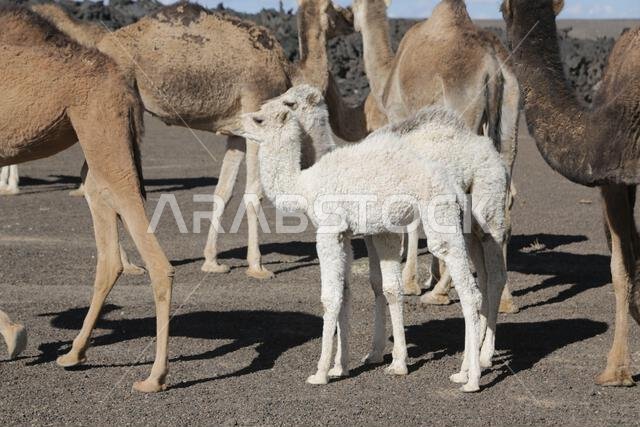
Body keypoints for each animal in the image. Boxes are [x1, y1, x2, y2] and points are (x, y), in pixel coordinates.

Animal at [0, 7, 173, 392]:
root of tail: (125, 84)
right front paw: (16, 335)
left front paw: (15, 336)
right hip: (98, 147)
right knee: (110, 253)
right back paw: (74, 354)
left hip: (104, 134)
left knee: (158, 261)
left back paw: (154, 377)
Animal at [240, 85, 484, 392]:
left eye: (260, 119)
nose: (238, 123)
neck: (304, 184)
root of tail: (454, 186)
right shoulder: (346, 234)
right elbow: (347, 293)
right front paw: (341, 367)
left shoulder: (329, 229)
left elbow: (329, 297)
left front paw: (320, 373)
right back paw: (463, 373)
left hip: (440, 217)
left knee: (469, 290)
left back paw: (472, 380)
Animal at [352, 0, 520, 313]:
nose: (351, 20)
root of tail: (493, 65)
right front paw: (431, 273)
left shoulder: (400, 120)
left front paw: (412, 281)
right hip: (510, 118)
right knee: (503, 205)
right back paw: (505, 300)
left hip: (464, 114)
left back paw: (440, 293)